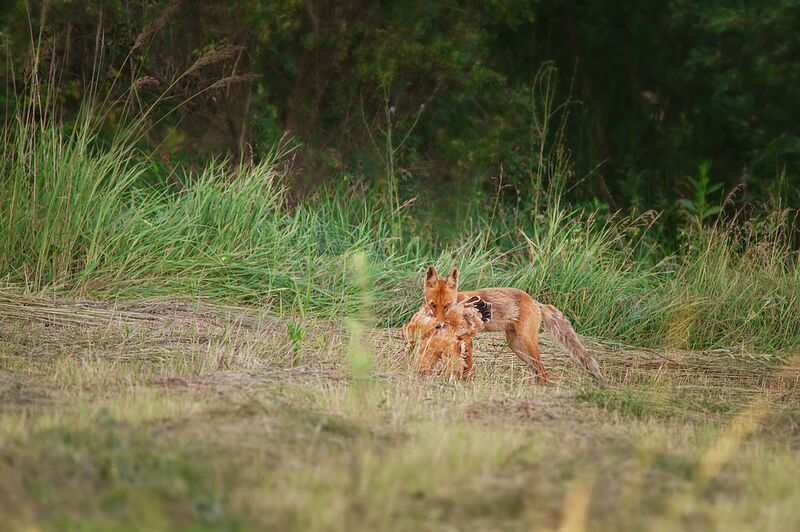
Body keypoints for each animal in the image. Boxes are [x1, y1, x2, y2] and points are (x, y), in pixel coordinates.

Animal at [405, 266, 604, 383]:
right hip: (517, 347)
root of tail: (536, 302)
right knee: (538, 371)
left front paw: (462, 379)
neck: (459, 301)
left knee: (543, 371)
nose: (438, 325)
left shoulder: (465, 339)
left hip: (527, 343)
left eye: (446, 306)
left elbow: (466, 362)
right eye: (433, 305)